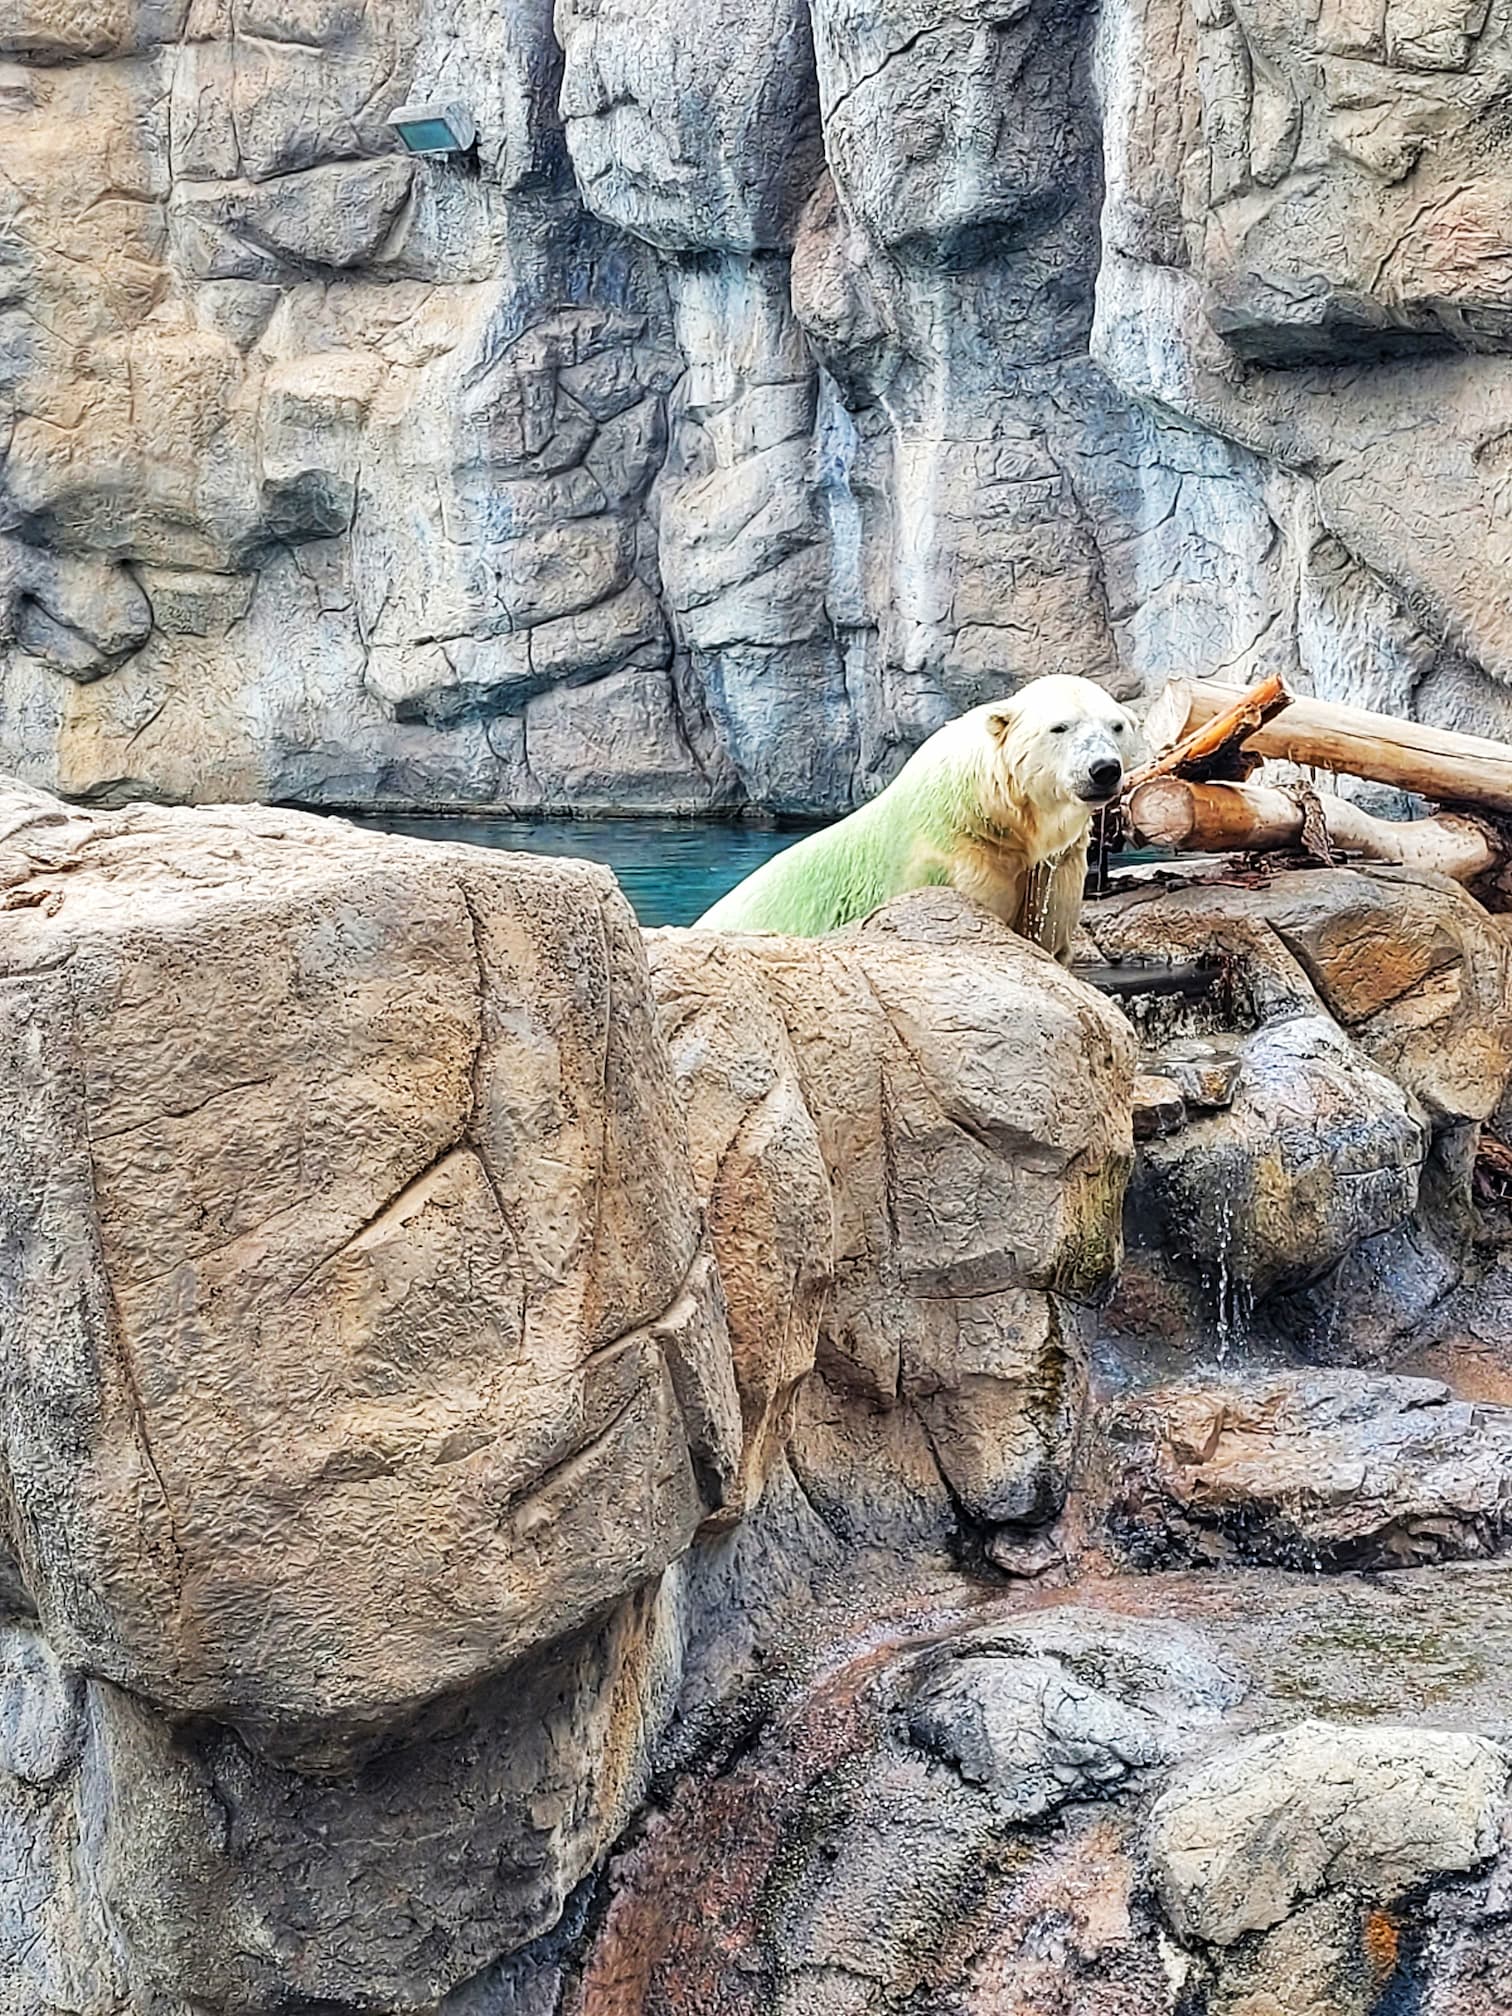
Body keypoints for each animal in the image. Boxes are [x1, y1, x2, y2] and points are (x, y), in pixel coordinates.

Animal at [695, 674, 1139, 962]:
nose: (1104, 770)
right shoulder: (950, 858)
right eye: (1059, 727)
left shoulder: (1053, 867)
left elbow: (1049, 937)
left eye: (1116, 725)